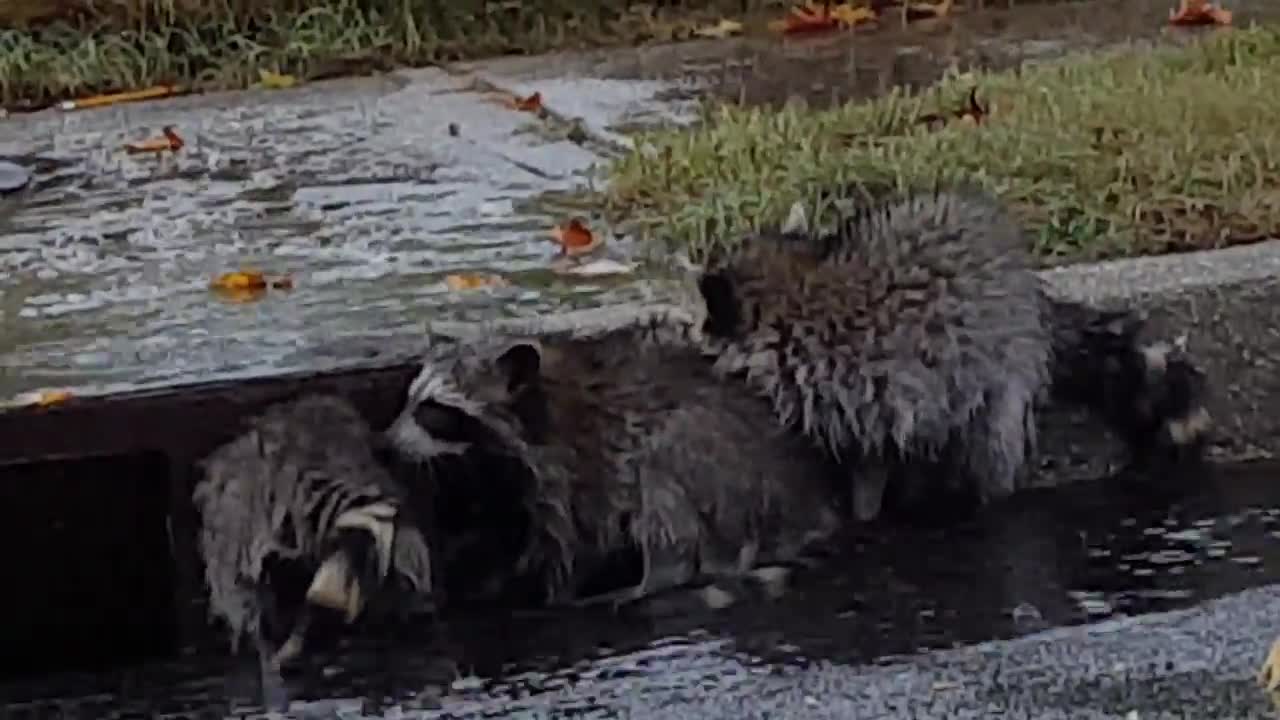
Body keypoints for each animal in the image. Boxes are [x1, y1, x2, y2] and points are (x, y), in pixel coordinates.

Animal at [384, 319, 844, 609]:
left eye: (432, 411)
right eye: (409, 398)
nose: (385, 442)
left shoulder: (574, 470)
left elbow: (569, 546)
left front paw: (546, 591)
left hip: (719, 468)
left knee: (662, 486)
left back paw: (653, 581)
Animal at [701, 185, 1208, 520]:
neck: (792, 288)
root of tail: (1034, 301)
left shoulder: (859, 381)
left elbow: (868, 453)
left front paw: (864, 511)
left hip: (1003, 367)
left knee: (990, 442)